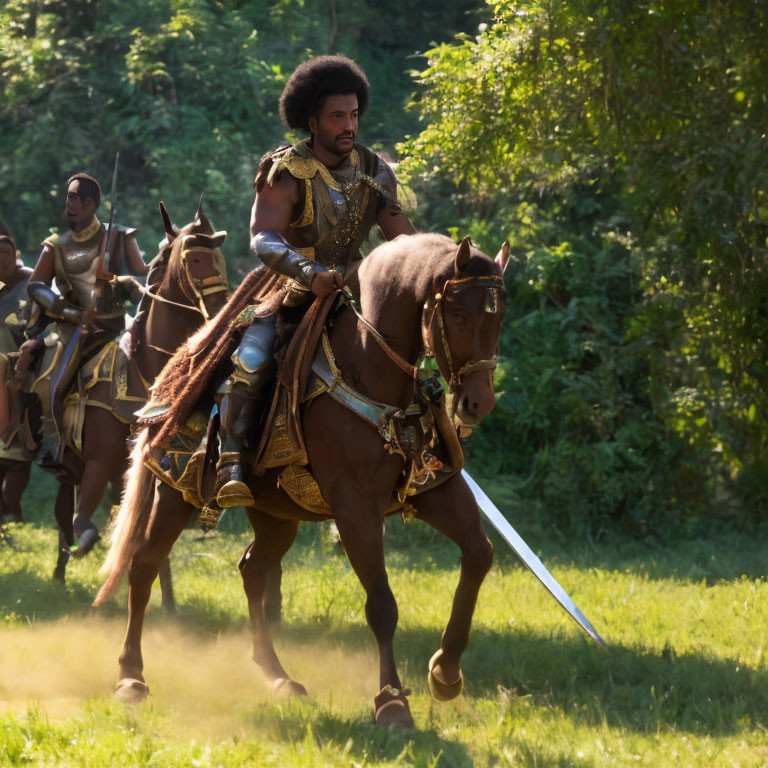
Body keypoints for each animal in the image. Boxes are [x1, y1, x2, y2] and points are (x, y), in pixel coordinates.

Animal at [50, 198, 230, 584]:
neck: (146, 369)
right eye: (194, 260)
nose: (223, 305)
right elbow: (88, 525)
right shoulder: (99, 468)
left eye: (218, 259)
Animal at [96, 234, 508, 728]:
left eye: (499, 315)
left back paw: (277, 676)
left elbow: (479, 555)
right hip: (175, 492)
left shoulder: (434, 487)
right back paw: (130, 677)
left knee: (253, 570)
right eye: (459, 314)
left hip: (275, 515)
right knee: (144, 566)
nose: (476, 403)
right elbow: (382, 604)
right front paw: (391, 702)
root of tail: (172, 377)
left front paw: (445, 670)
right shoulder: (354, 506)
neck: (369, 367)